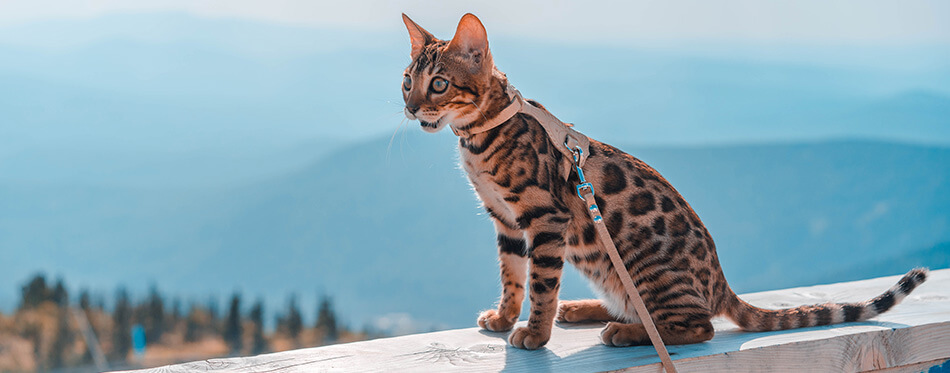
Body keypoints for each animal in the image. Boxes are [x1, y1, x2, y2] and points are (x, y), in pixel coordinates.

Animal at [400, 12, 928, 348]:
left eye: (439, 84)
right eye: (407, 81)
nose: (409, 107)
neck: (478, 136)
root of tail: (720, 284)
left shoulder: (543, 217)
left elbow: (540, 284)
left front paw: (534, 331)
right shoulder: (506, 220)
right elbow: (511, 274)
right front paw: (505, 316)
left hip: (645, 266)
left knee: (698, 326)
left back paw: (625, 331)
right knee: (638, 306)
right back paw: (588, 310)